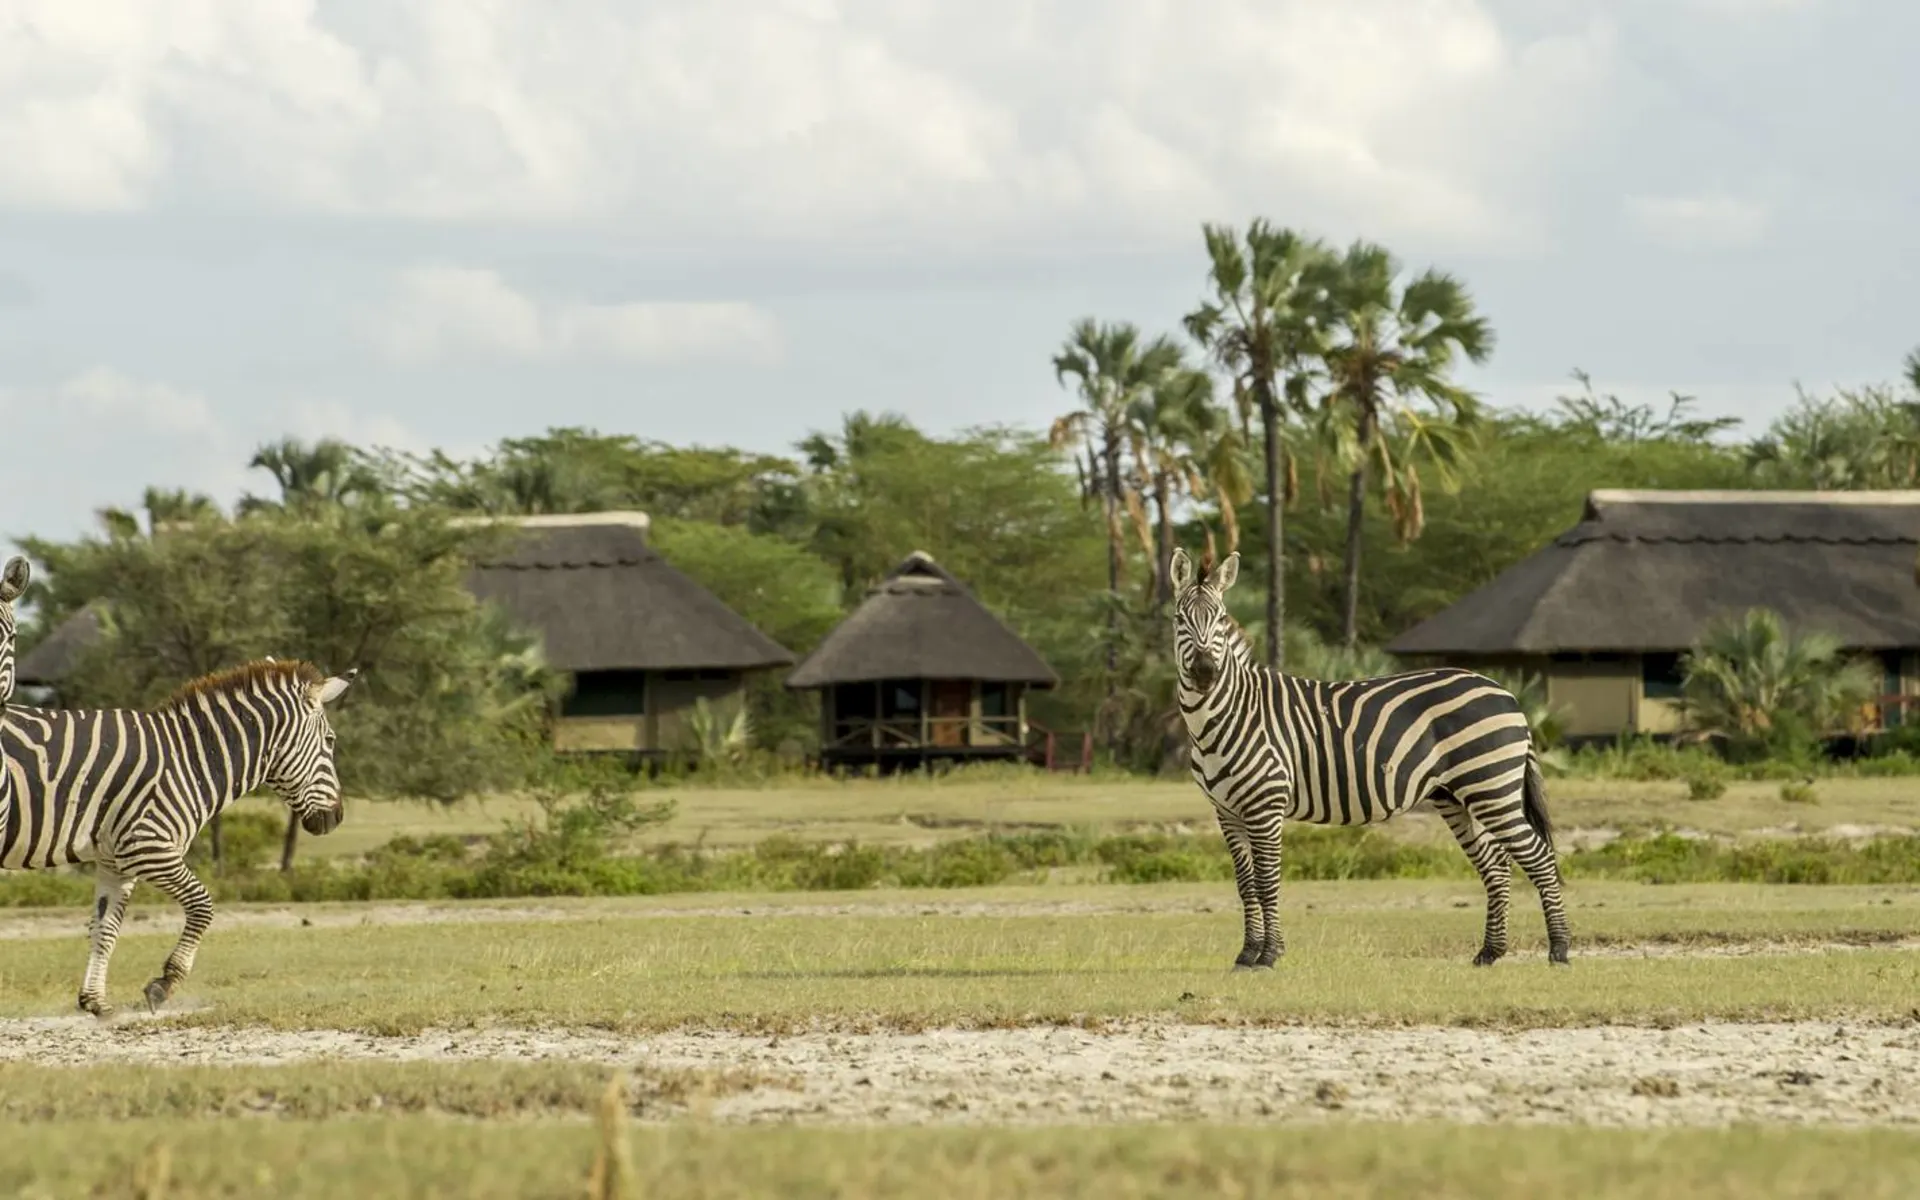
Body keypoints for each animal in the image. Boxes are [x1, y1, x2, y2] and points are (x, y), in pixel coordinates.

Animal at [2, 656, 360, 1013]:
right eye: (330, 740)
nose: (337, 817)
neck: (189, 761)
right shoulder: (147, 846)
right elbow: (203, 905)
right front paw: (165, 983)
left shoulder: (115, 860)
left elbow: (106, 928)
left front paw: (95, 1003)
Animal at [1159, 549, 1566, 967]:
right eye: (1179, 619)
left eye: (1221, 618)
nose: (1206, 672)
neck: (1224, 717)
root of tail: (1506, 693)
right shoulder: (1227, 811)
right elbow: (1246, 885)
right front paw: (1247, 953)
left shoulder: (1265, 805)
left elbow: (1266, 882)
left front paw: (1269, 954)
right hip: (1457, 795)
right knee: (1496, 866)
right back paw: (1489, 952)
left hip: (1492, 788)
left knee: (1539, 857)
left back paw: (1559, 948)